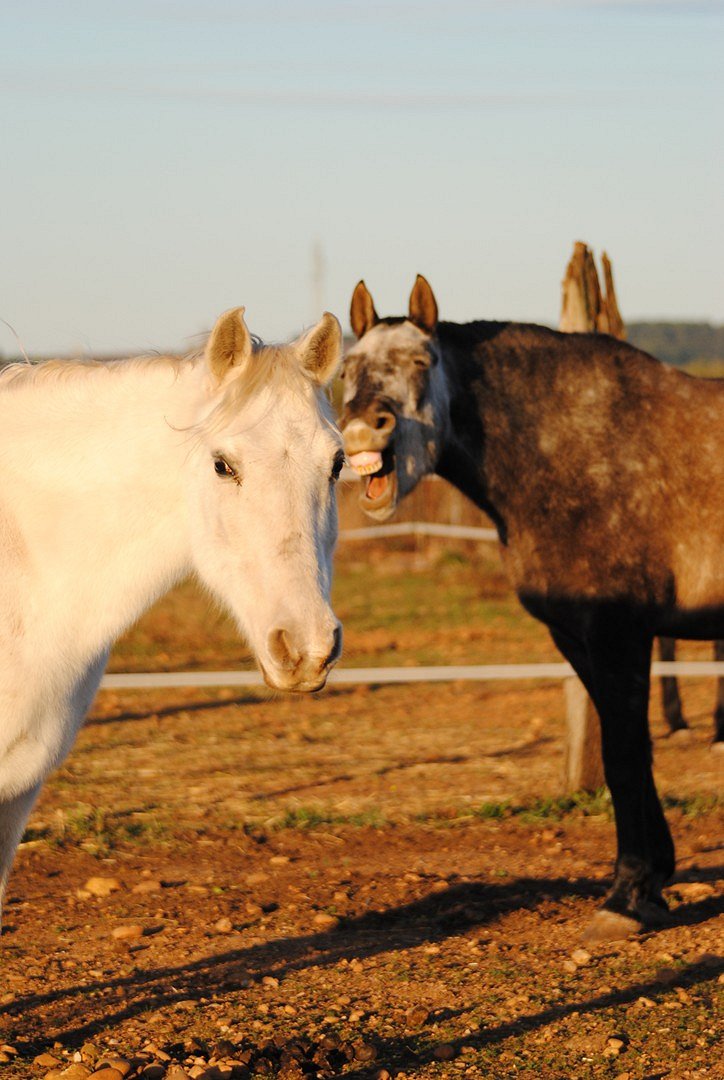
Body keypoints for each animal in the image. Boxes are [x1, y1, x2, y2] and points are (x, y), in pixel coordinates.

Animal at [341, 274, 724, 941]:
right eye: (348, 369)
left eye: (421, 362)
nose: (365, 428)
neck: (574, 448)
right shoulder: (576, 638)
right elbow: (631, 753)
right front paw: (651, 883)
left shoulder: (620, 632)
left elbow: (624, 755)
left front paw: (626, 897)